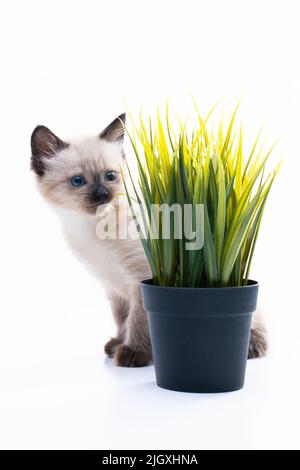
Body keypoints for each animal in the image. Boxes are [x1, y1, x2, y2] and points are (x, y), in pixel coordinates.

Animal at [30, 114, 268, 368]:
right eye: (77, 181)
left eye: (110, 176)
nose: (102, 195)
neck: (90, 227)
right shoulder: (113, 289)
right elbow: (122, 319)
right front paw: (117, 343)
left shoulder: (140, 278)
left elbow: (139, 321)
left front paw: (133, 353)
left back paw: (252, 348)